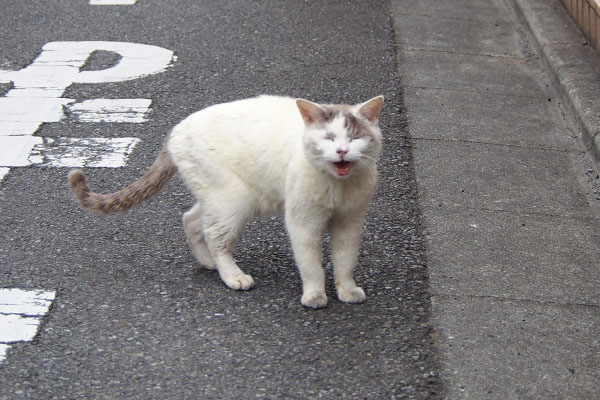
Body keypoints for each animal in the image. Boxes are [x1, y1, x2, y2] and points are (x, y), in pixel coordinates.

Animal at [68, 94, 382, 310]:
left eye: (355, 137)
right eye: (328, 137)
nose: (341, 151)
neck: (338, 187)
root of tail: (177, 128)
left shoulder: (351, 221)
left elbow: (345, 260)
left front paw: (347, 290)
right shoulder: (303, 222)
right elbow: (311, 264)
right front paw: (315, 295)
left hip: (226, 199)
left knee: (192, 221)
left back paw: (207, 262)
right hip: (232, 201)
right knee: (215, 238)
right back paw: (231, 275)